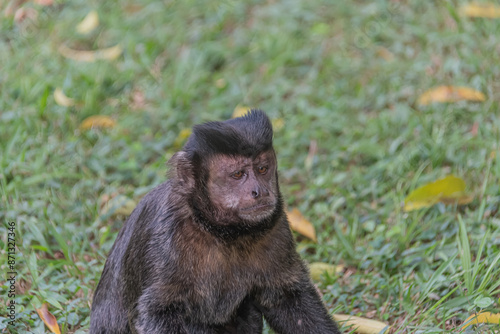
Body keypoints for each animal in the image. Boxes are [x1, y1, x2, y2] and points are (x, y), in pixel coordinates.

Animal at [89, 111, 340, 332]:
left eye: (262, 169)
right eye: (238, 174)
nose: (259, 191)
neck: (221, 232)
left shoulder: (277, 227)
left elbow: (287, 298)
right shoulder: (166, 238)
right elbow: (155, 313)